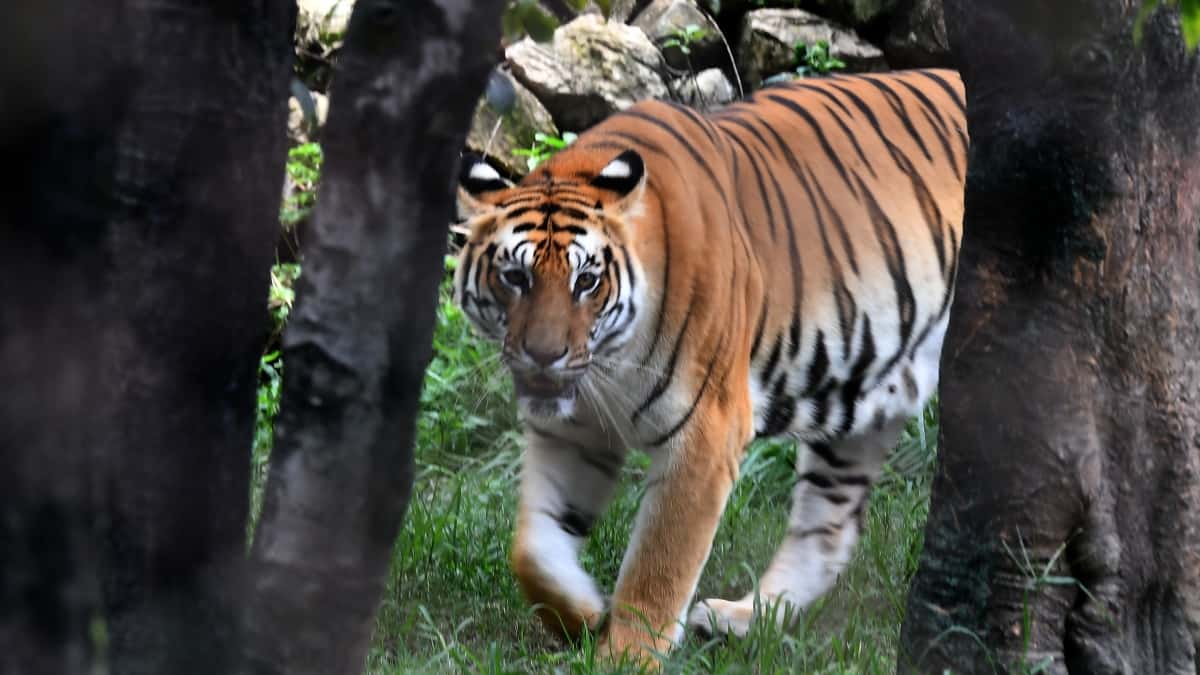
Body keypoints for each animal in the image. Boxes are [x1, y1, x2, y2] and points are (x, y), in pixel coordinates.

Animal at [453, 68, 967, 661]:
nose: (544, 355)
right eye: (515, 277)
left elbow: (659, 564)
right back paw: (741, 620)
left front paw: (626, 656)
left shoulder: (706, 432)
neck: (610, 366)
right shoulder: (570, 433)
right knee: (827, 531)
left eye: (587, 280)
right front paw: (580, 613)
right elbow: (533, 548)